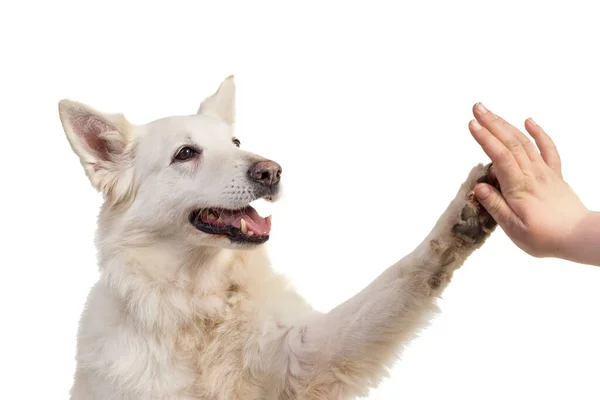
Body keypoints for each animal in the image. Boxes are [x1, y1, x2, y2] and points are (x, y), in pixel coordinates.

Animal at [58, 76, 502, 398]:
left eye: (236, 142)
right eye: (186, 153)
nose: (271, 171)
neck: (198, 305)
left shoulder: (305, 356)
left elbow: (401, 277)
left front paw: (463, 215)